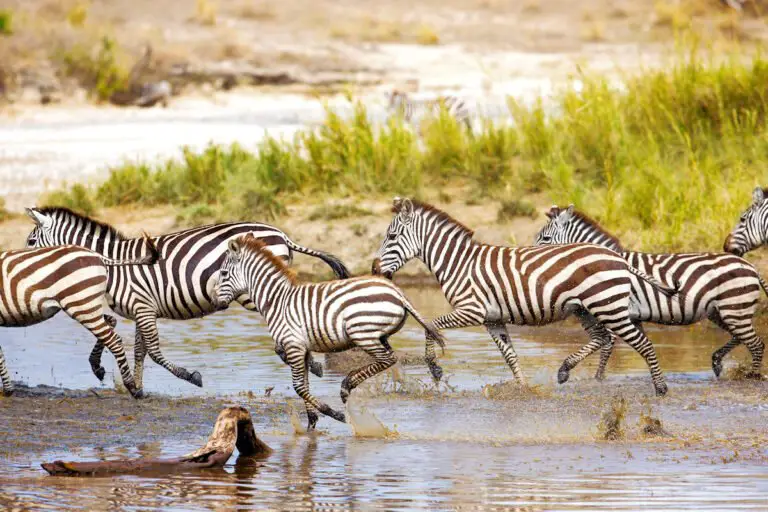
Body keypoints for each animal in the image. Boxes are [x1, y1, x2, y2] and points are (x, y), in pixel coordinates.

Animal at [0, 241, 158, 400]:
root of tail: (96, 254)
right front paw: (8, 389)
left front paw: (7, 390)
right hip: (87, 305)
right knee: (111, 322)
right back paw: (98, 368)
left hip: (82, 304)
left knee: (114, 341)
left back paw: (132, 388)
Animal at [22, 206, 350, 390]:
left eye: (30, 241)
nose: (21, 266)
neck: (113, 263)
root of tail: (282, 234)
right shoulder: (142, 309)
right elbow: (138, 350)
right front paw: (134, 385)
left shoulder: (142, 306)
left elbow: (152, 351)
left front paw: (190, 377)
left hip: (253, 291)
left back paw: (312, 364)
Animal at [213, 234, 448, 430]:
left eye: (223, 273)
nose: (215, 302)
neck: (277, 301)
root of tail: (397, 293)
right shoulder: (302, 348)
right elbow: (305, 384)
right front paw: (311, 423)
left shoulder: (293, 345)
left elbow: (298, 387)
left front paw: (333, 414)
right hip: (379, 335)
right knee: (388, 359)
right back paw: (348, 384)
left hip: (361, 333)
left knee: (387, 359)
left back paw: (347, 385)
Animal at [372, 197, 680, 396]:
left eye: (392, 237)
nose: (374, 269)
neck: (458, 262)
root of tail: (618, 257)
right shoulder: (492, 319)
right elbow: (509, 354)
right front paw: (522, 387)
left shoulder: (471, 310)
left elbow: (431, 326)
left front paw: (435, 368)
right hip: (587, 309)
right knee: (603, 339)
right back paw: (564, 371)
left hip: (608, 307)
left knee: (641, 343)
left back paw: (661, 389)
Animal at [536, 205, 764, 380]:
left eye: (545, 238)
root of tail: (752, 267)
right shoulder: (630, 315)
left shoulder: (614, 310)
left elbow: (607, 345)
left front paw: (597, 378)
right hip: (721, 311)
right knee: (741, 337)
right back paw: (717, 362)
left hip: (734, 308)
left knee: (756, 343)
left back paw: (751, 376)